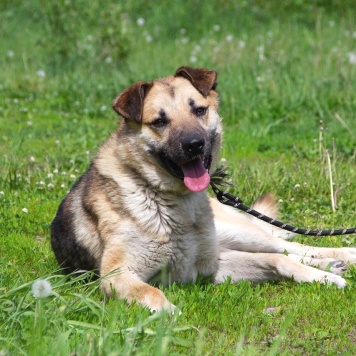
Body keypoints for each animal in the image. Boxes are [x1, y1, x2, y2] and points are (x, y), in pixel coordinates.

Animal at [51, 66, 356, 312]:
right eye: (159, 121)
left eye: (199, 110)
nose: (194, 144)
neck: (171, 201)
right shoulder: (118, 275)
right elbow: (151, 291)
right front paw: (168, 315)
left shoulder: (209, 265)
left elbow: (279, 260)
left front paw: (324, 277)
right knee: (284, 250)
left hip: (234, 232)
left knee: (289, 246)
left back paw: (341, 258)